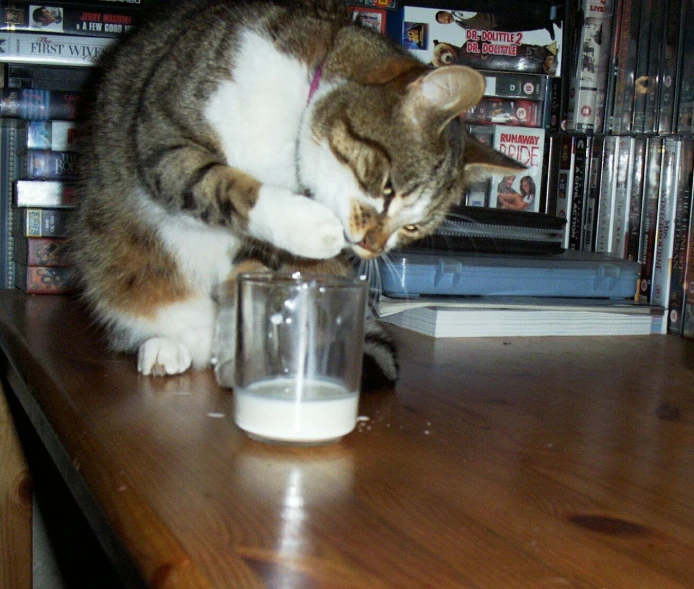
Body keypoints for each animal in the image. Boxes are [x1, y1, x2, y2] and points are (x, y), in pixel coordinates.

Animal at [70, 0, 524, 390]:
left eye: (411, 228)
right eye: (387, 190)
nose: (371, 247)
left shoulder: (260, 247)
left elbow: (246, 271)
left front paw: (239, 349)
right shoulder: (165, 140)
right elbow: (219, 183)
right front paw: (309, 224)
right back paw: (166, 345)